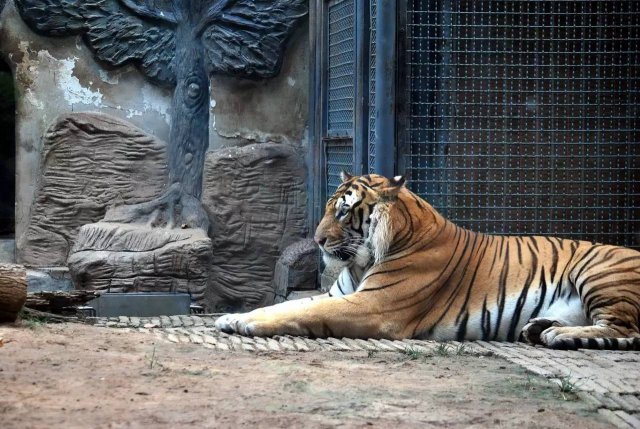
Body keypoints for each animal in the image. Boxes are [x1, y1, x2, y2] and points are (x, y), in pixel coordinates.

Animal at [216, 172, 640, 350]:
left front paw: (244, 322)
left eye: (342, 211)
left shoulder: (373, 305)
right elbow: (288, 304)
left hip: (600, 271)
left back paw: (556, 335)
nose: (318, 241)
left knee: (627, 330)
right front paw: (233, 317)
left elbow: (299, 311)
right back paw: (539, 328)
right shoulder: (342, 294)